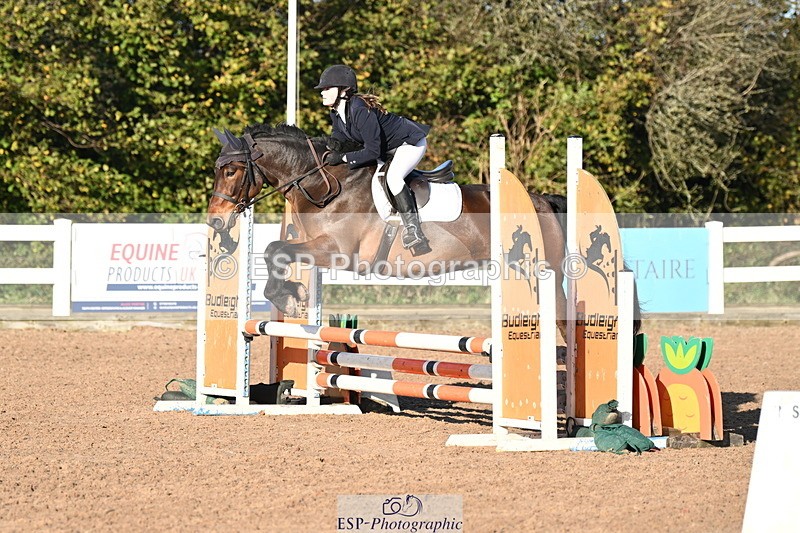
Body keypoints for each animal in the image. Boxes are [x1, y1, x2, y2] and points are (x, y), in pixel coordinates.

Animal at [207, 123, 571, 337]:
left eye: (231, 171)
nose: (215, 221)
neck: (325, 183)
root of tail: (540, 199)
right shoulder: (314, 245)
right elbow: (275, 251)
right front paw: (294, 295)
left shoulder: (337, 251)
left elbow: (275, 250)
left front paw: (291, 299)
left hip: (544, 275)